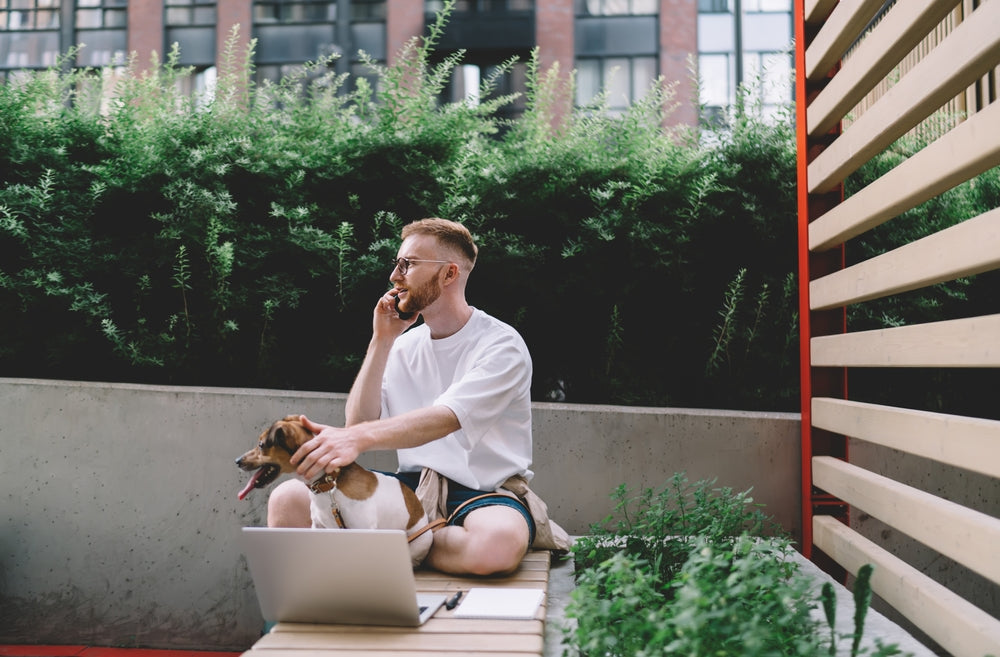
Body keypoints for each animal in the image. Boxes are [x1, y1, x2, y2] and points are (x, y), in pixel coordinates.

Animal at [240, 416, 436, 564]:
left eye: (261, 444)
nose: (237, 461)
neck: (329, 484)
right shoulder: (319, 528)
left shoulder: (363, 530)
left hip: (418, 543)